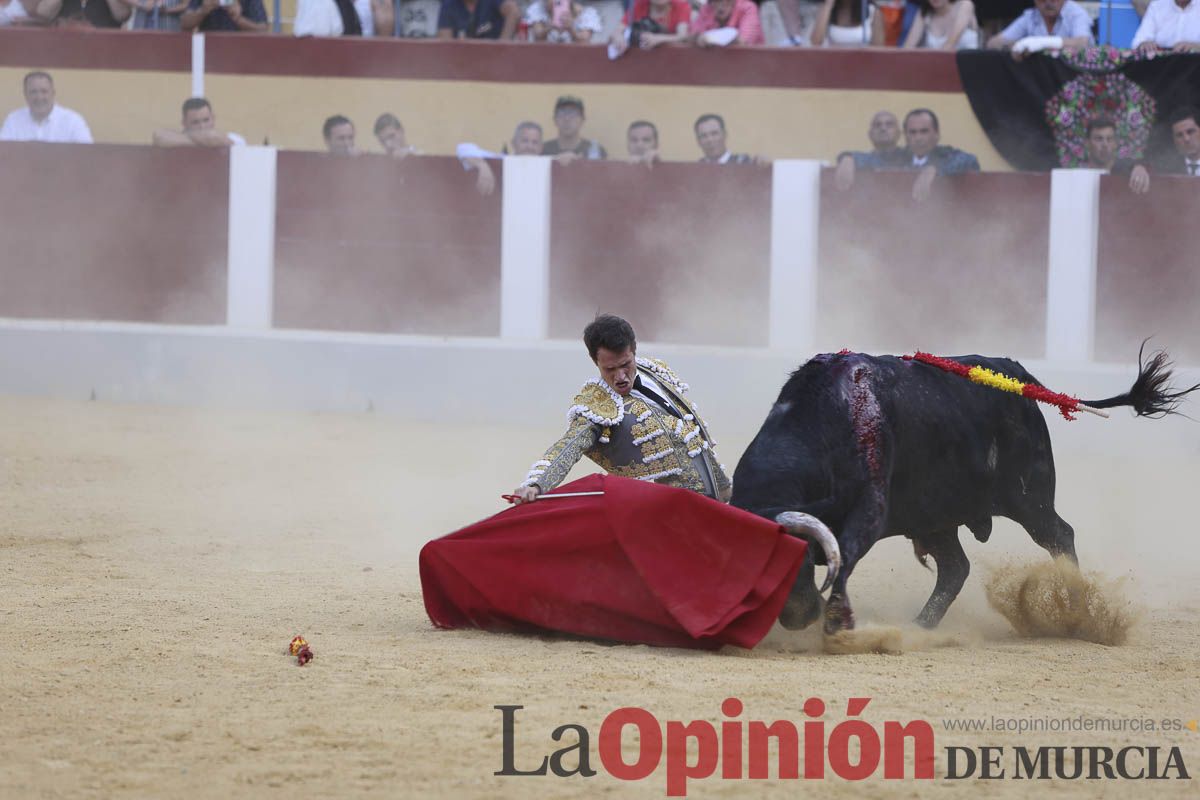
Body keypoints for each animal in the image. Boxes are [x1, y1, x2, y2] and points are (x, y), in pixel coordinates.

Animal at [724, 347, 1195, 633]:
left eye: (796, 558)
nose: (797, 616)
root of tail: (1020, 376)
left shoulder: (870, 509)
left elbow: (847, 557)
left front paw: (839, 623)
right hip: (935, 518)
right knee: (955, 568)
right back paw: (920, 626)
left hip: (1030, 498)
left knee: (1060, 536)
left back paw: (1076, 613)